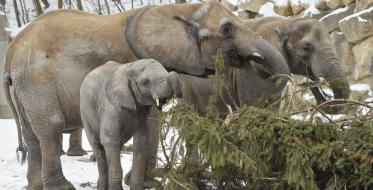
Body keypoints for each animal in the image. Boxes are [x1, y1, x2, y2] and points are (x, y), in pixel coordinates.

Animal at [80, 58, 181, 189]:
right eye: (145, 82)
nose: (173, 73)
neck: (130, 66)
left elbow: (141, 141)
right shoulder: (110, 106)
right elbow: (110, 139)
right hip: (85, 113)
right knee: (99, 147)